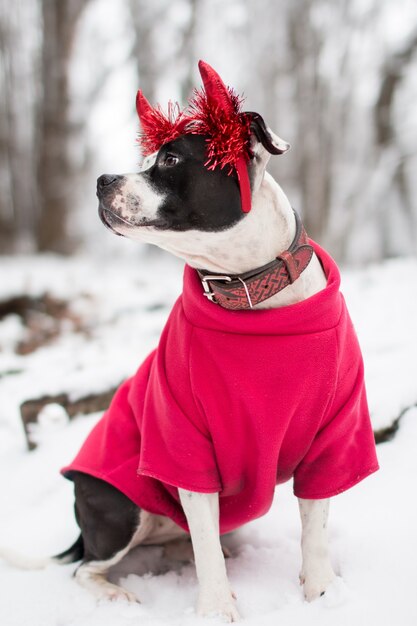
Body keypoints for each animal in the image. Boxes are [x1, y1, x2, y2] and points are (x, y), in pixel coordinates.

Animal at [3, 62, 378, 620]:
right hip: (118, 508)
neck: (250, 293)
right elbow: (204, 540)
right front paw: (217, 611)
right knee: (86, 568)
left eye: (171, 158)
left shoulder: (334, 436)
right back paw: (117, 594)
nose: (102, 179)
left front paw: (321, 595)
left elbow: (315, 528)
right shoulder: (182, 441)